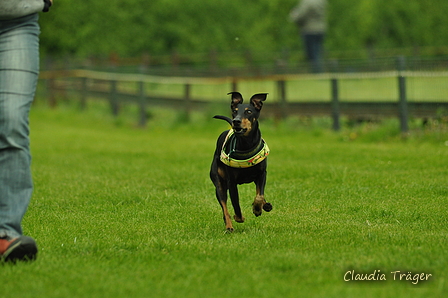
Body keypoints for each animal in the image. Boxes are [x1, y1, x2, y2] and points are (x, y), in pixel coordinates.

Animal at [211, 92, 272, 232]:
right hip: (219, 182)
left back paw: (265, 205)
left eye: (249, 111)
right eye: (235, 111)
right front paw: (239, 217)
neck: (245, 144)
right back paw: (229, 226)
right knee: (224, 206)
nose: (236, 121)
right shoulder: (231, 182)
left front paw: (257, 208)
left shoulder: (262, 174)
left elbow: (259, 195)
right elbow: (236, 204)